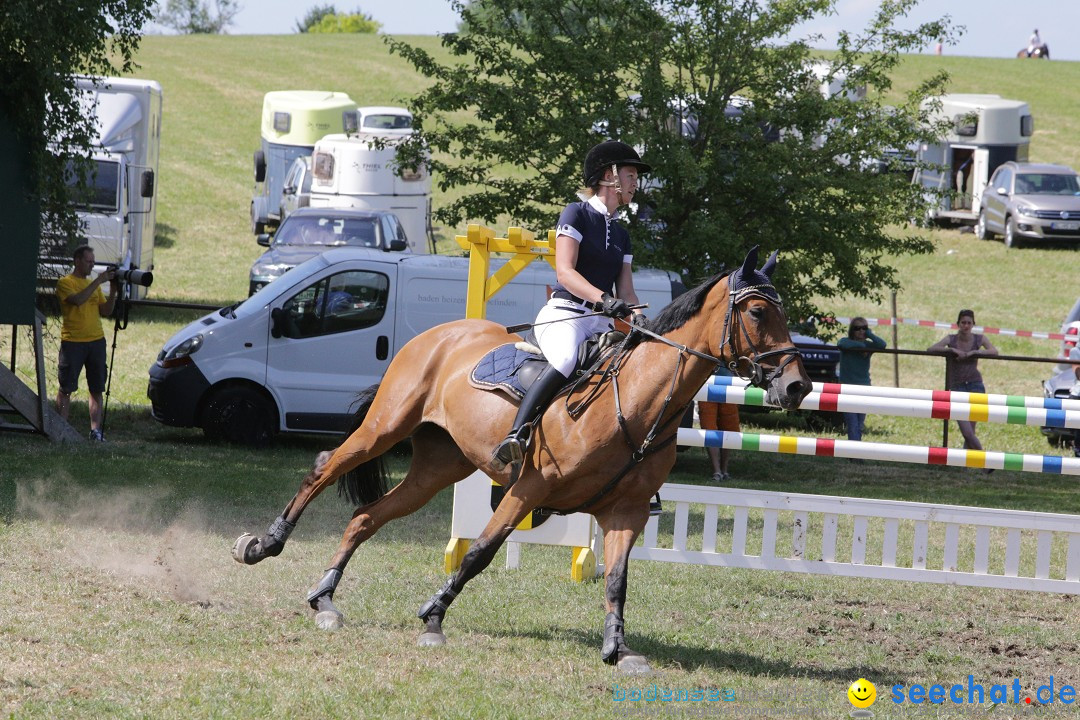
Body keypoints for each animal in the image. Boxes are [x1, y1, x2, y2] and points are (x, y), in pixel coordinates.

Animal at [234, 246, 812, 677]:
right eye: (758, 312)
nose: (797, 386)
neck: (638, 400)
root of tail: (439, 333)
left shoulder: (624, 511)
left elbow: (617, 580)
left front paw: (619, 649)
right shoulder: (528, 489)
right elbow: (478, 553)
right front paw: (433, 618)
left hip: (437, 468)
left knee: (365, 517)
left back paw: (325, 599)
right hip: (385, 428)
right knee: (324, 468)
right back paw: (264, 544)